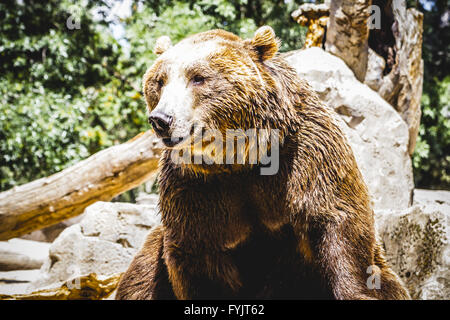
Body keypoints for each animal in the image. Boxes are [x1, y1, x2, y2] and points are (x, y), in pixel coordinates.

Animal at [117, 25, 412, 300]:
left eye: (198, 77)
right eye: (159, 81)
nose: (161, 119)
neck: (240, 157)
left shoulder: (307, 157)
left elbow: (338, 222)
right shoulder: (194, 185)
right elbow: (196, 250)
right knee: (141, 274)